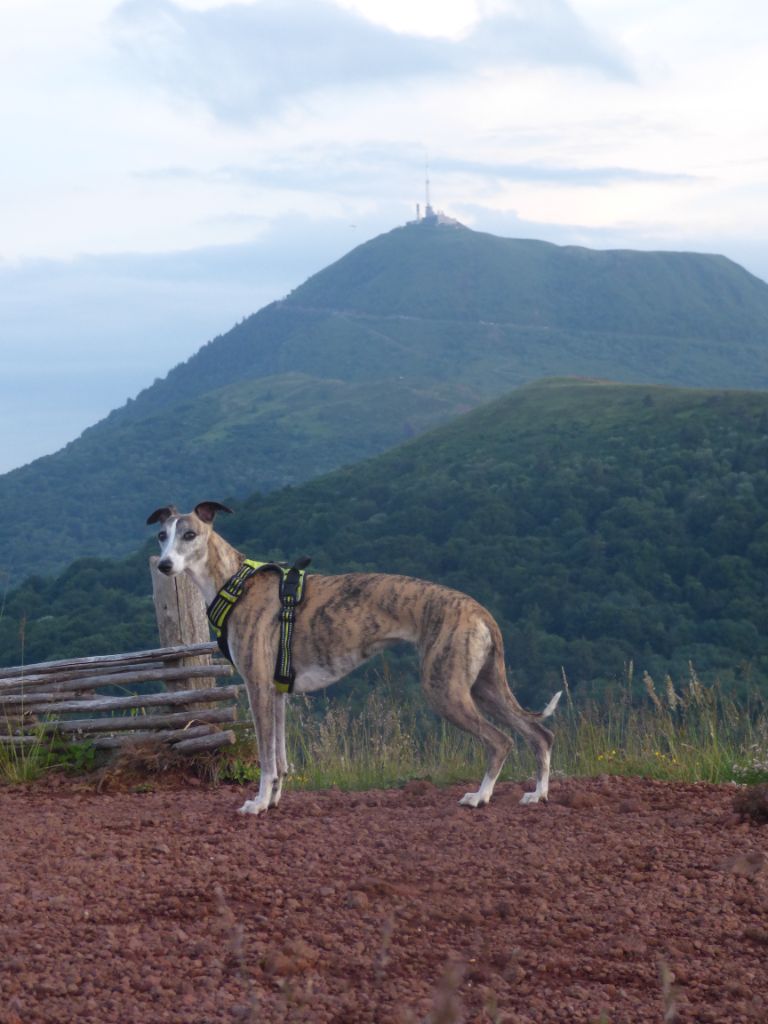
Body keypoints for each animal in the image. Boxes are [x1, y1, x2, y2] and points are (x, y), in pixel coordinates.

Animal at [147, 501, 561, 815]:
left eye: (189, 535)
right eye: (162, 535)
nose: (164, 566)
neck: (235, 583)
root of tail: (479, 610)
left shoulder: (258, 686)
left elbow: (266, 758)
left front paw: (259, 803)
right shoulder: (277, 693)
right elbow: (280, 760)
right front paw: (275, 800)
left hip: (445, 689)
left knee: (500, 740)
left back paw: (480, 796)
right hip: (482, 686)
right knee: (539, 734)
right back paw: (537, 793)